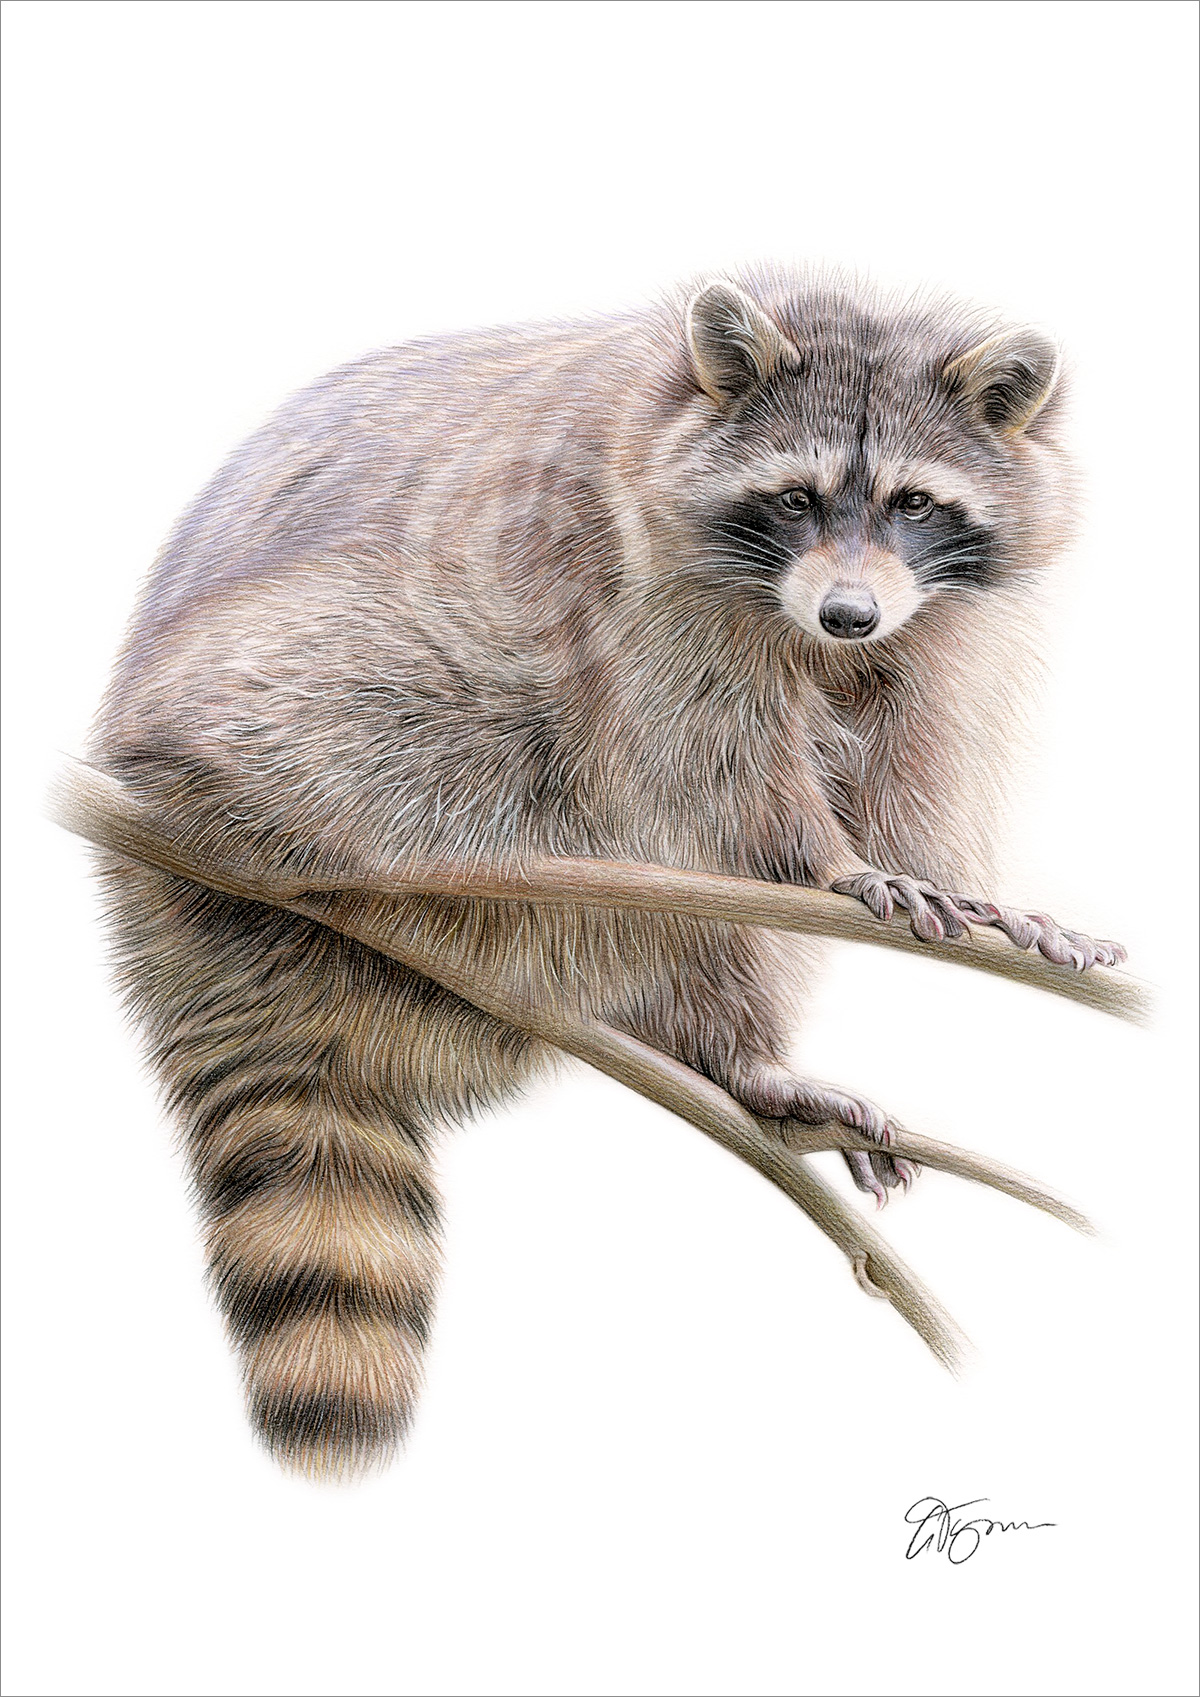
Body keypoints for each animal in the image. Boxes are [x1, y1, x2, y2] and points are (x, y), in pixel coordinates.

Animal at [91, 267, 1117, 1476]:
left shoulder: (939, 620)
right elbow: (709, 758)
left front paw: (971, 891)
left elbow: (919, 759)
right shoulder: (634, 576)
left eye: (916, 504)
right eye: (796, 499)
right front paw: (830, 860)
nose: (847, 613)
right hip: (328, 681)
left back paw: (736, 1054)